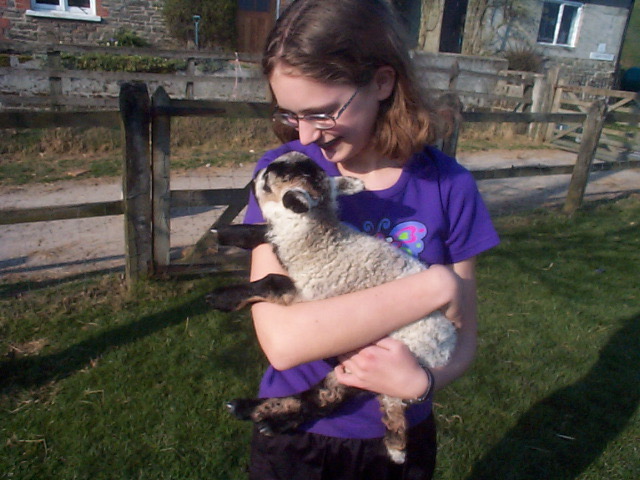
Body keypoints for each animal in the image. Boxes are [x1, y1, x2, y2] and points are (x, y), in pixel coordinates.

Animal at [208, 152, 458, 464]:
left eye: (268, 179)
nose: (253, 176)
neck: (320, 238)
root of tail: (445, 350)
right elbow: (265, 231)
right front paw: (223, 233)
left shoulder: (306, 294)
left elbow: (269, 281)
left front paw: (220, 298)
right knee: (326, 397)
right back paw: (265, 417)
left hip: (388, 357)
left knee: (326, 397)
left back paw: (254, 412)